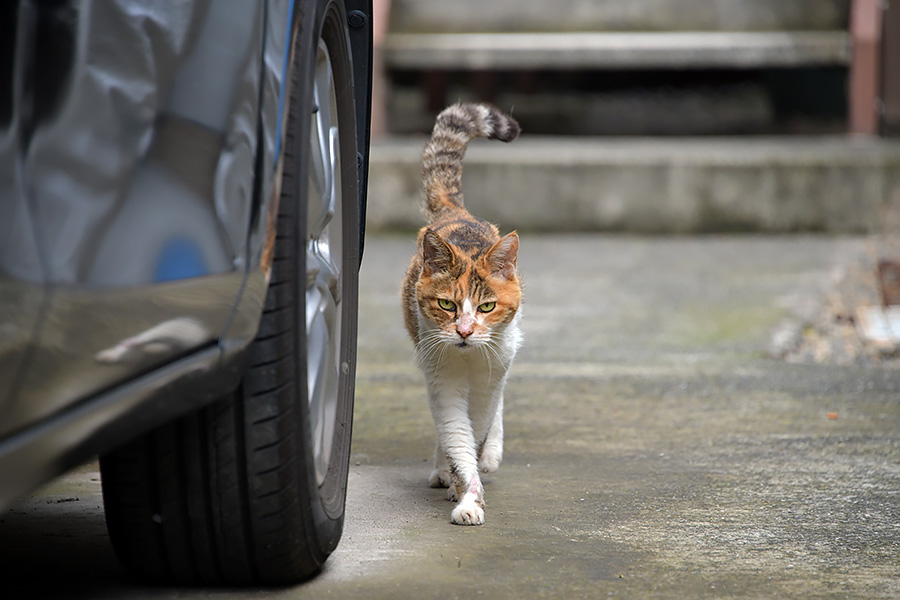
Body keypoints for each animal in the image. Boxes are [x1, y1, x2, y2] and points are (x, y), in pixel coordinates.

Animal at [400, 104, 520, 524]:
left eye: (486, 306)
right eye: (447, 305)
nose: (465, 331)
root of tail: (457, 212)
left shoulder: (488, 383)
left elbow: (480, 424)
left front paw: (473, 480)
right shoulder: (443, 382)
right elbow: (456, 437)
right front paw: (465, 494)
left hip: (506, 354)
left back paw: (491, 455)